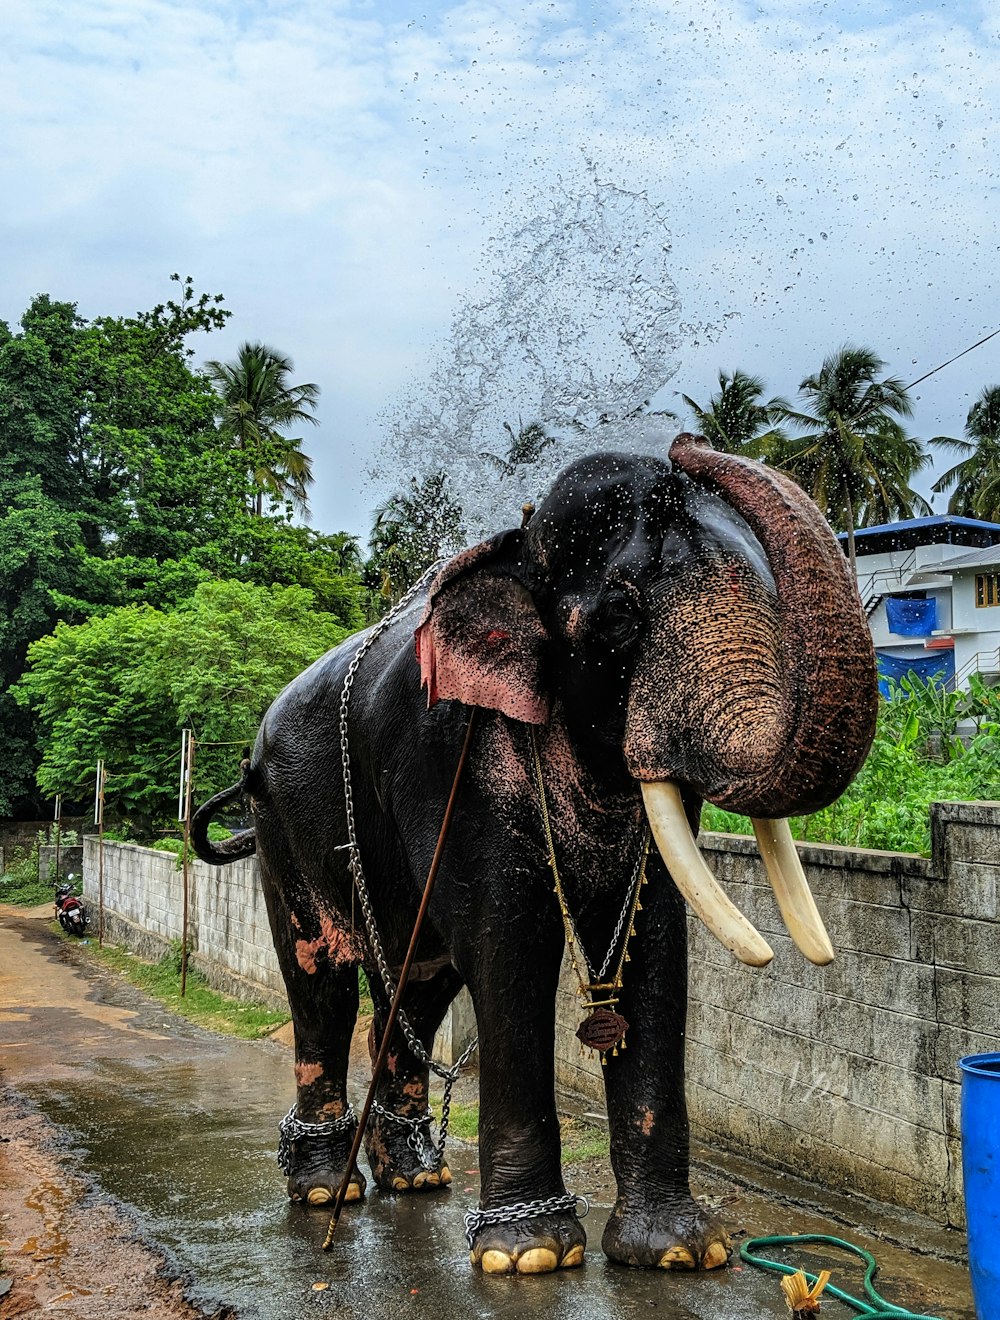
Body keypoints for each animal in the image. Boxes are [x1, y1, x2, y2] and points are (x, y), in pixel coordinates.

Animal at [189, 435, 875, 1277]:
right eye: (620, 615)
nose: (683, 447)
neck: (512, 553)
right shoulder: (456, 763)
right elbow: (509, 947)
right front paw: (530, 1256)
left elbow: (655, 949)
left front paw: (681, 1252)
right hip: (282, 827)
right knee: (321, 981)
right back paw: (325, 1192)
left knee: (414, 989)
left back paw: (414, 1177)